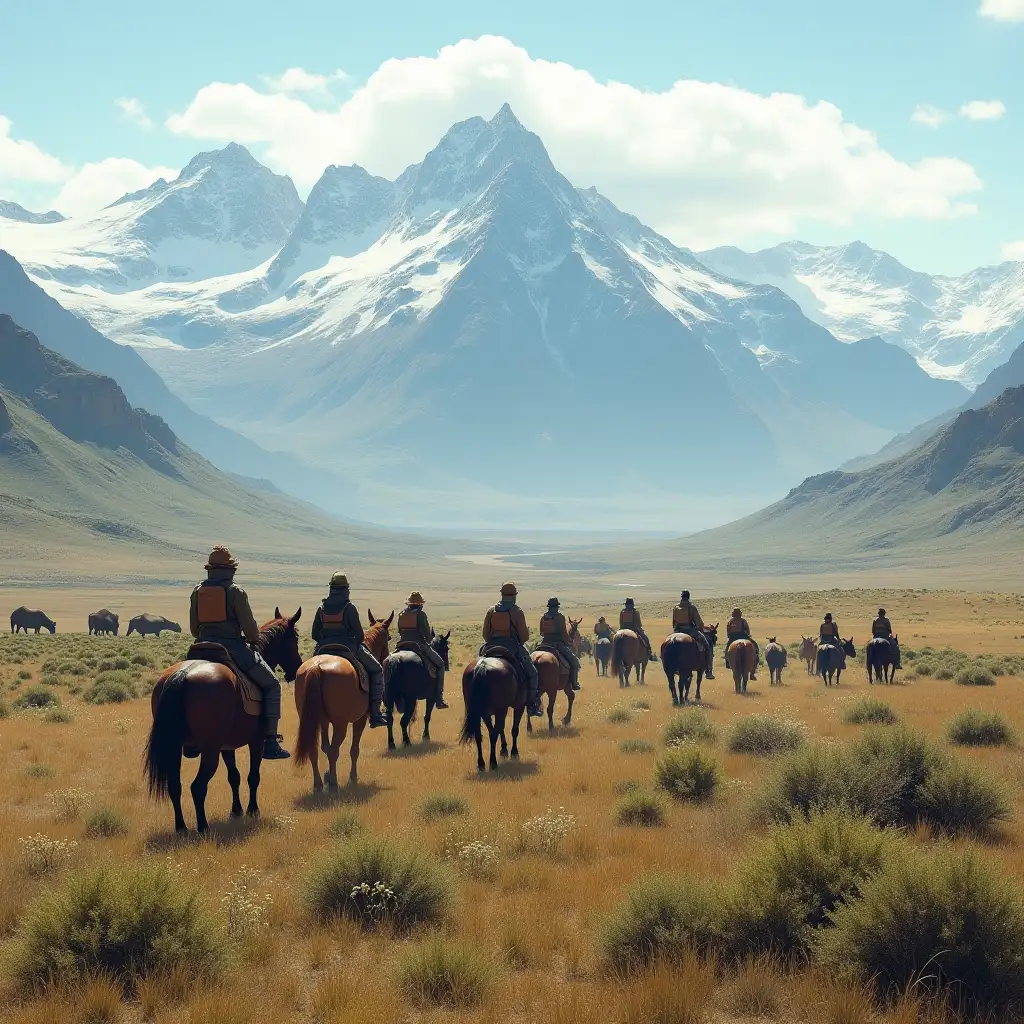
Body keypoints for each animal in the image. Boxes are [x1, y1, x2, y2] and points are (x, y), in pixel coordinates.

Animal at [146, 606, 301, 831]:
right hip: (209, 751)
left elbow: (234, 777)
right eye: (295, 638)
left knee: (175, 786)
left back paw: (181, 827)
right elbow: (253, 776)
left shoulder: (227, 746)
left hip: (175, 748)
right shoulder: (256, 741)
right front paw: (253, 810)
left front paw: (236, 811)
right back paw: (203, 827)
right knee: (197, 786)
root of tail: (182, 674)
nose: (297, 668)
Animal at [296, 606, 395, 790]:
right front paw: (352, 778)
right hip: (340, 724)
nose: (387, 657)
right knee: (334, 750)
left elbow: (324, 747)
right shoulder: (360, 719)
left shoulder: (323, 721)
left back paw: (318, 785)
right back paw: (334, 784)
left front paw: (328, 774)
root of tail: (316, 667)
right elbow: (353, 749)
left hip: (311, 719)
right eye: (388, 638)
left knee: (314, 750)